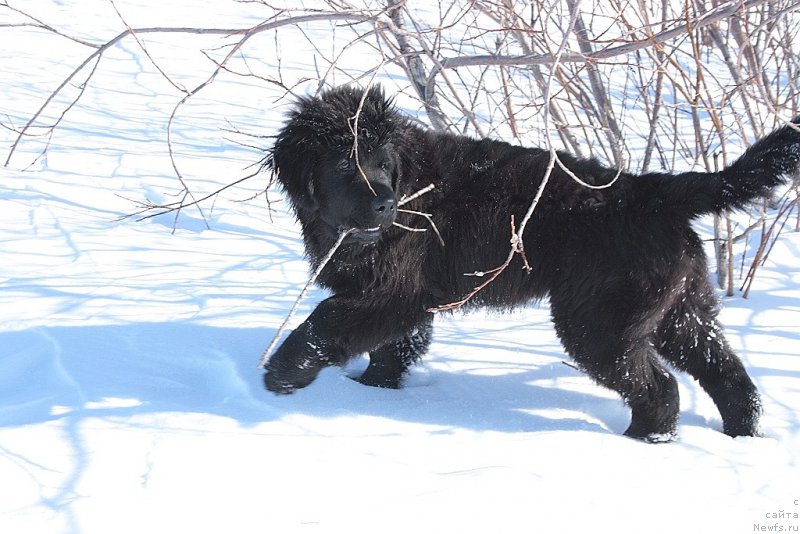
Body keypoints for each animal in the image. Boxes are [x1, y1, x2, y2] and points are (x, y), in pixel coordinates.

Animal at [264, 85, 800, 444]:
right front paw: (373, 392)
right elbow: (392, 348)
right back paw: (741, 434)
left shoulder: (391, 293)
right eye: (343, 164)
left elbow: (324, 324)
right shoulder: (406, 300)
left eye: (383, 163)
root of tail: (650, 190)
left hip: (599, 323)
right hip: (678, 308)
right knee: (724, 370)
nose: (386, 204)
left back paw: (640, 442)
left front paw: (283, 376)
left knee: (660, 385)